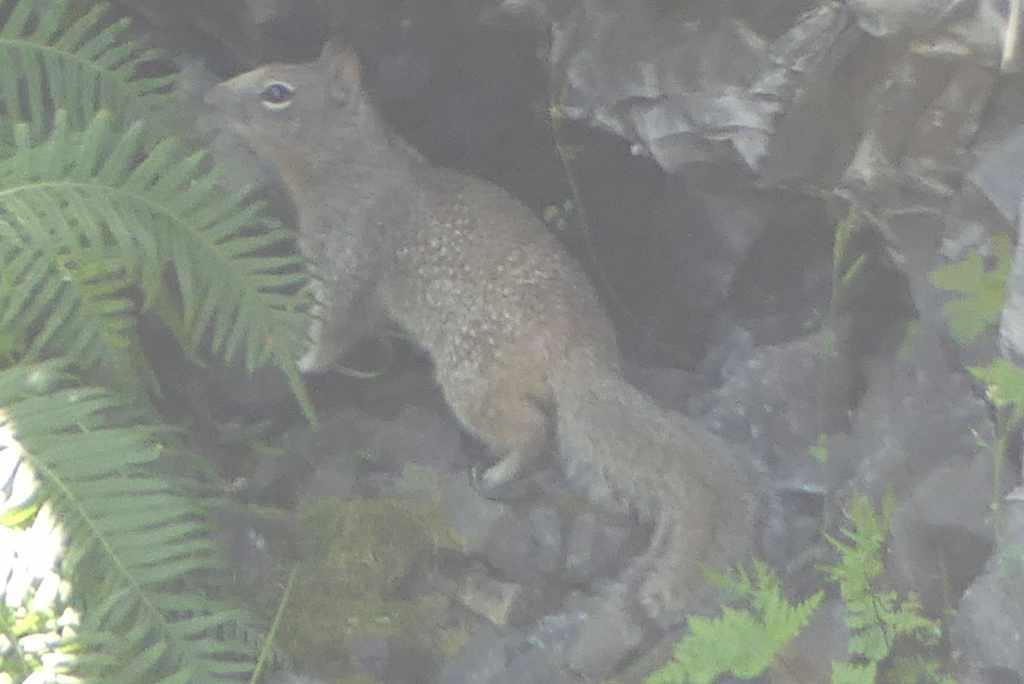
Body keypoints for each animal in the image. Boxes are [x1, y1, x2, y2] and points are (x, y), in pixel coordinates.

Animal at [205, 37, 757, 656]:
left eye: (277, 91)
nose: (209, 98)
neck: (349, 166)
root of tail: (585, 359)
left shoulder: (348, 263)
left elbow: (334, 332)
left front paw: (301, 362)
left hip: (471, 376)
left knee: (533, 430)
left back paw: (497, 474)